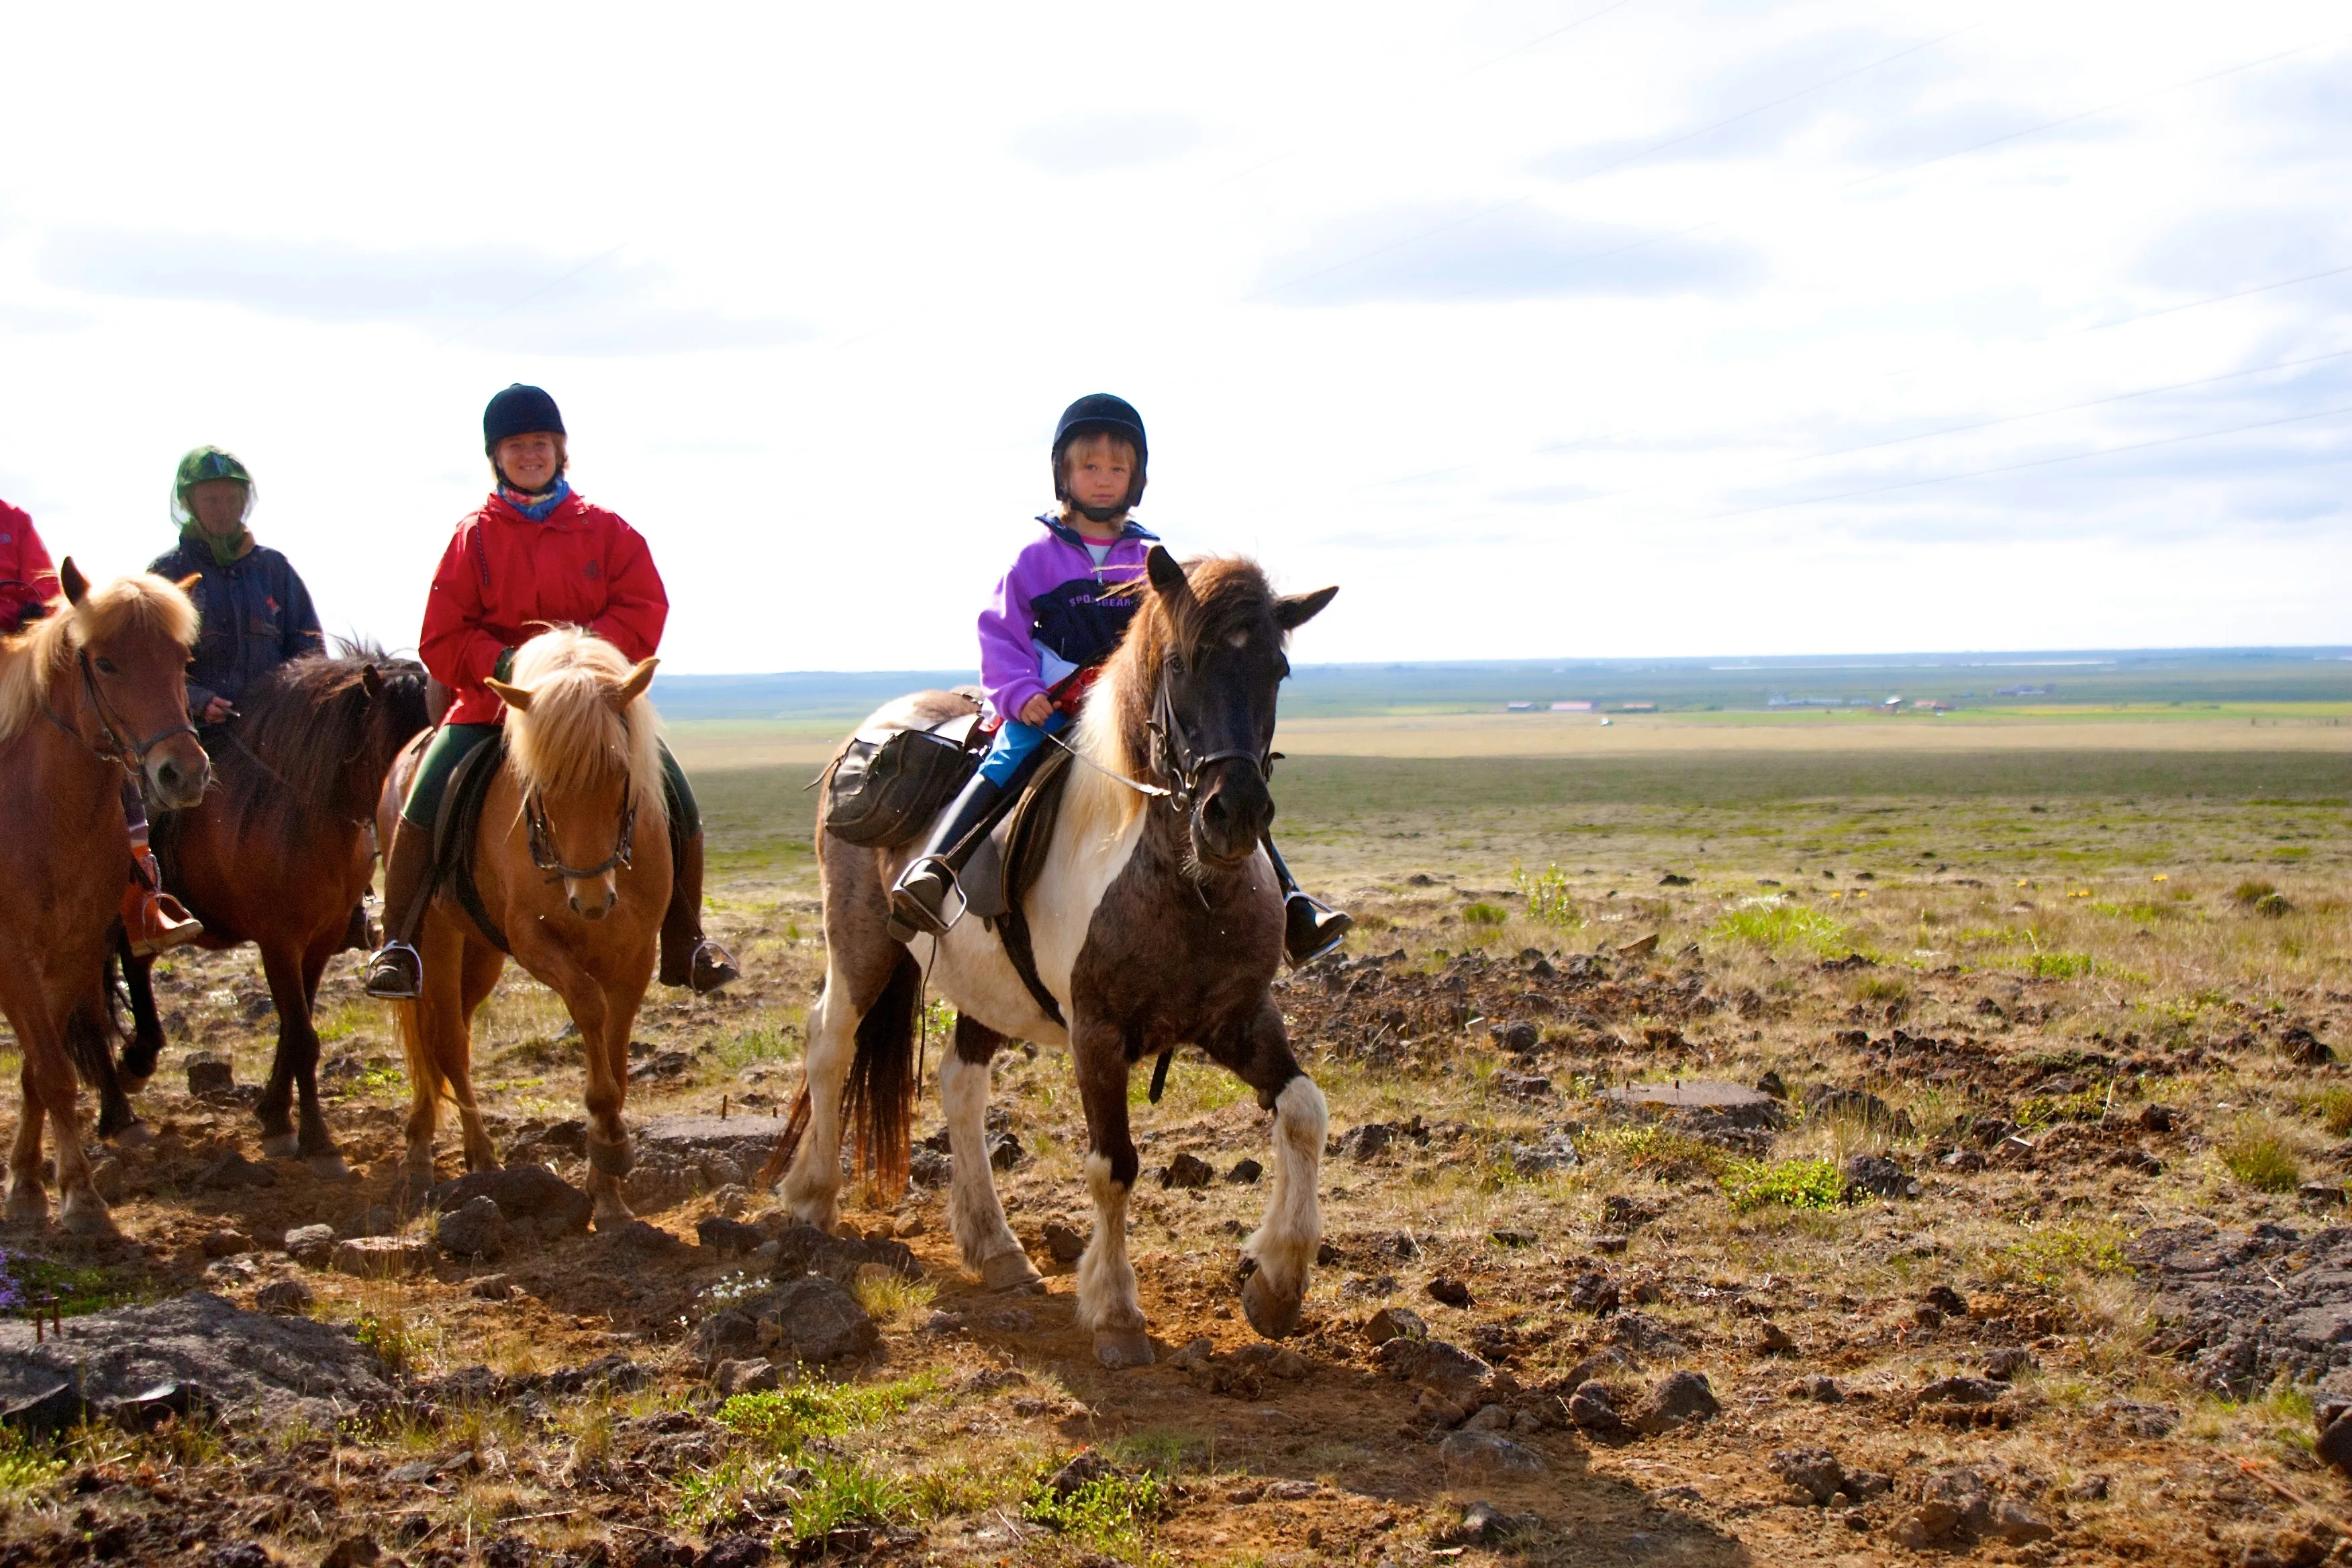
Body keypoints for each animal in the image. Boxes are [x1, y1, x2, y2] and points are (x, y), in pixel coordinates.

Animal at [0, 564, 208, 1241]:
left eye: (181, 659)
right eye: (107, 662)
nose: (183, 773)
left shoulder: (71, 953)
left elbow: (39, 1073)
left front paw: (34, 1186)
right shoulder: (13, 957)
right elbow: (53, 1071)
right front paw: (78, 1198)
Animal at [374, 630, 673, 1222]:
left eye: (620, 773)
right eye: (541, 784)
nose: (591, 901)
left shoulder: (636, 955)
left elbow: (617, 1048)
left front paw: (608, 1189)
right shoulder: (534, 942)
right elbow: (589, 1008)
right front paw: (608, 1137)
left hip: (481, 954)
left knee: (448, 1039)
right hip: (434, 937)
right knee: (446, 1040)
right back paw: (454, 1156)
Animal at [762, 550, 1336, 1363]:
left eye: (1278, 668)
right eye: (1182, 662)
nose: (1234, 814)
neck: (1182, 884)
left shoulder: (1241, 1018)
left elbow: (1304, 1111)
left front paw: (1279, 1283)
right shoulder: (1097, 1034)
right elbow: (1113, 1165)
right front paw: (1118, 1313)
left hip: (985, 989)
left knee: (960, 1084)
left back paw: (994, 1245)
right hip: (862, 943)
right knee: (829, 1042)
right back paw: (812, 1197)